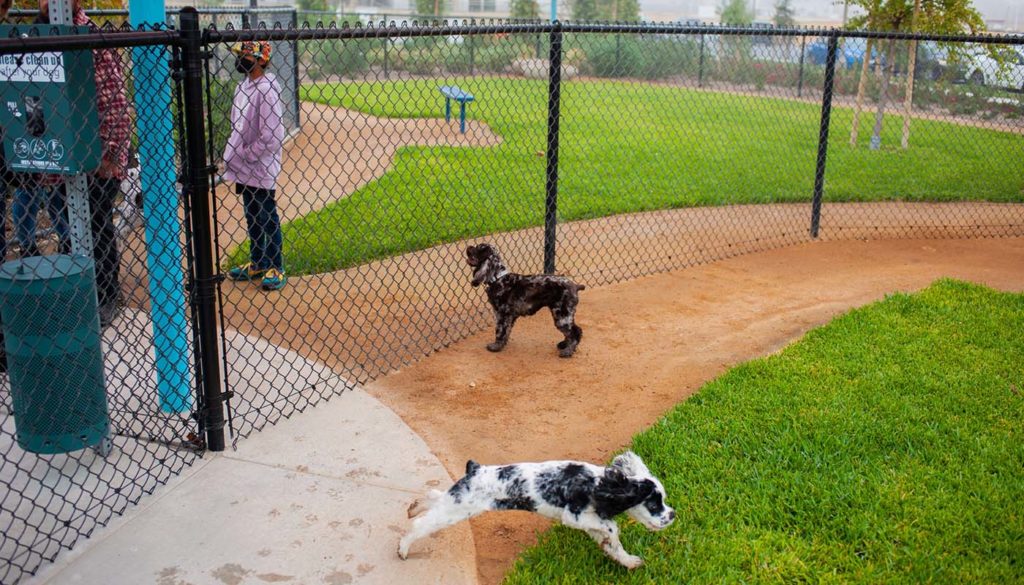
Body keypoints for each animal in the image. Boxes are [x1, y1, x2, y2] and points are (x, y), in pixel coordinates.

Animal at [393, 450, 671, 569]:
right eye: (654, 503)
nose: (672, 515)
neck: (599, 483)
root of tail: (476, 470)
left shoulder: (588, 521)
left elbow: (613, 543)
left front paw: (628, 561)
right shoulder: (574, 516)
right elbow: (612, 528)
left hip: (456, 503)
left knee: (433, 497)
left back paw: (414, 507)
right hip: (456, 510)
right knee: (421, 525)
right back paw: (403, 548)